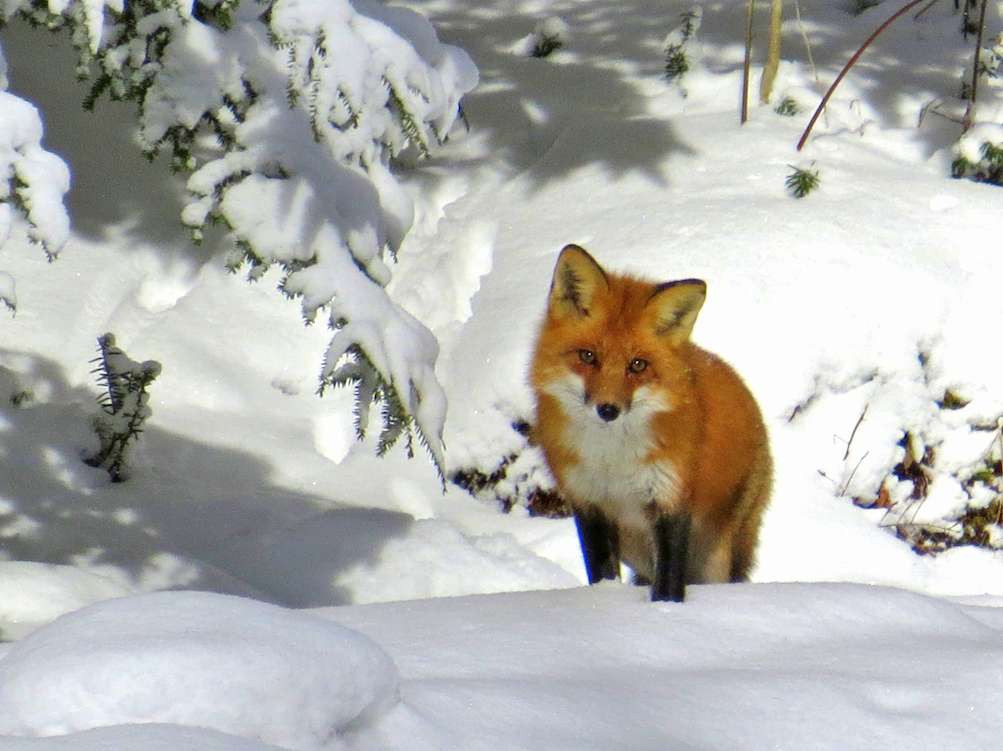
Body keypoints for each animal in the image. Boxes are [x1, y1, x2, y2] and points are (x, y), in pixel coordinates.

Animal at [529, 245, 770, 601]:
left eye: (638, 365)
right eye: (588, 356)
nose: (608, 410)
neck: (613, 460)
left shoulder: (671, 500)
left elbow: (668, 583)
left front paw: (665, 609)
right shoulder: (588, 503)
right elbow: (602, 574)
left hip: (715, 554)